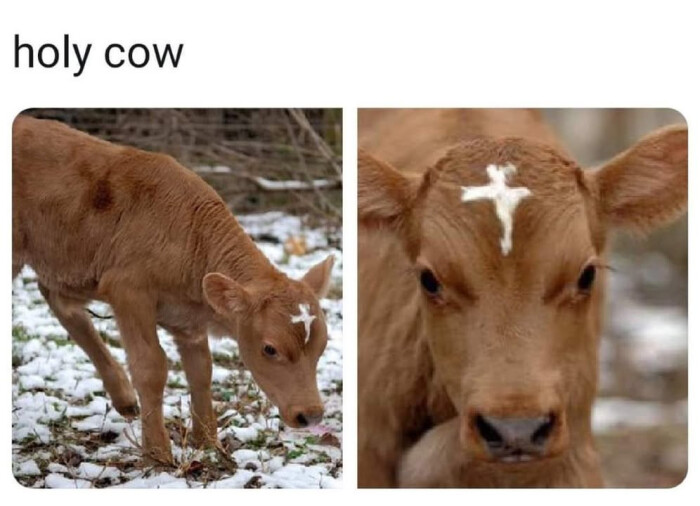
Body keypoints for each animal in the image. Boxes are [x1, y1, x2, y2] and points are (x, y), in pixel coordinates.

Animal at [12, 115, 335, 465]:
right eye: (270, 349)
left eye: (322, 346)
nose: (311, 415)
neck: (189, 237)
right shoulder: (129, 290)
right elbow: (151, 367)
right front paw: (157, 453)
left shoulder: (187, 319)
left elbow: (201, 370)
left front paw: (208, 443)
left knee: (59, 301)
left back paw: (124, 397)